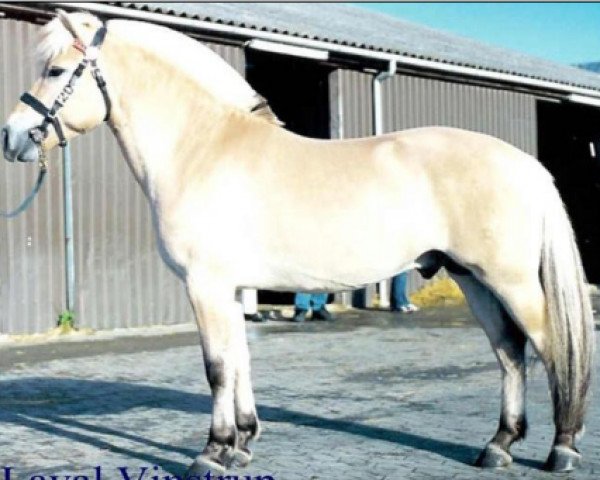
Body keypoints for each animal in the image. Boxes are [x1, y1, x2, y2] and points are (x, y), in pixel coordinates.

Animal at [3, 12, 596, 476]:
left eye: (56, 70)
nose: (12, 138)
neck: (202, 149)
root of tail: (526, 163)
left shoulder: (206, 286)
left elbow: (216, 367)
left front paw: (211, 453)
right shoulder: (228, 289)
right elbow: (239, 361)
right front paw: (242, 444)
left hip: (510, 280)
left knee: (550, 347)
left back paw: (561, 449)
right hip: (472, 278)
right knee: (510, 352)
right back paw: (498, 446)